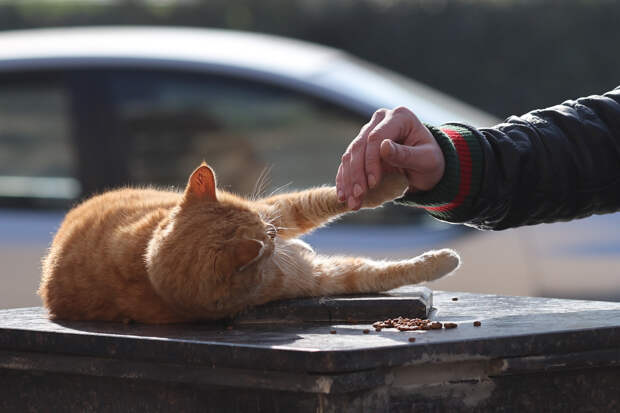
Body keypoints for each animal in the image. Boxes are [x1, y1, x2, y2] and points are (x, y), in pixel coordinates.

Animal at [37, 163, 456, 324]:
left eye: (266, 229)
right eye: (264, 240)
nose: (273, 233)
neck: (145, 269)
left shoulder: (276, 209)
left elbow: (323, 199)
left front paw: (385, 183)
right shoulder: (313, 277)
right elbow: (374, 273)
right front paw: (442, 261)